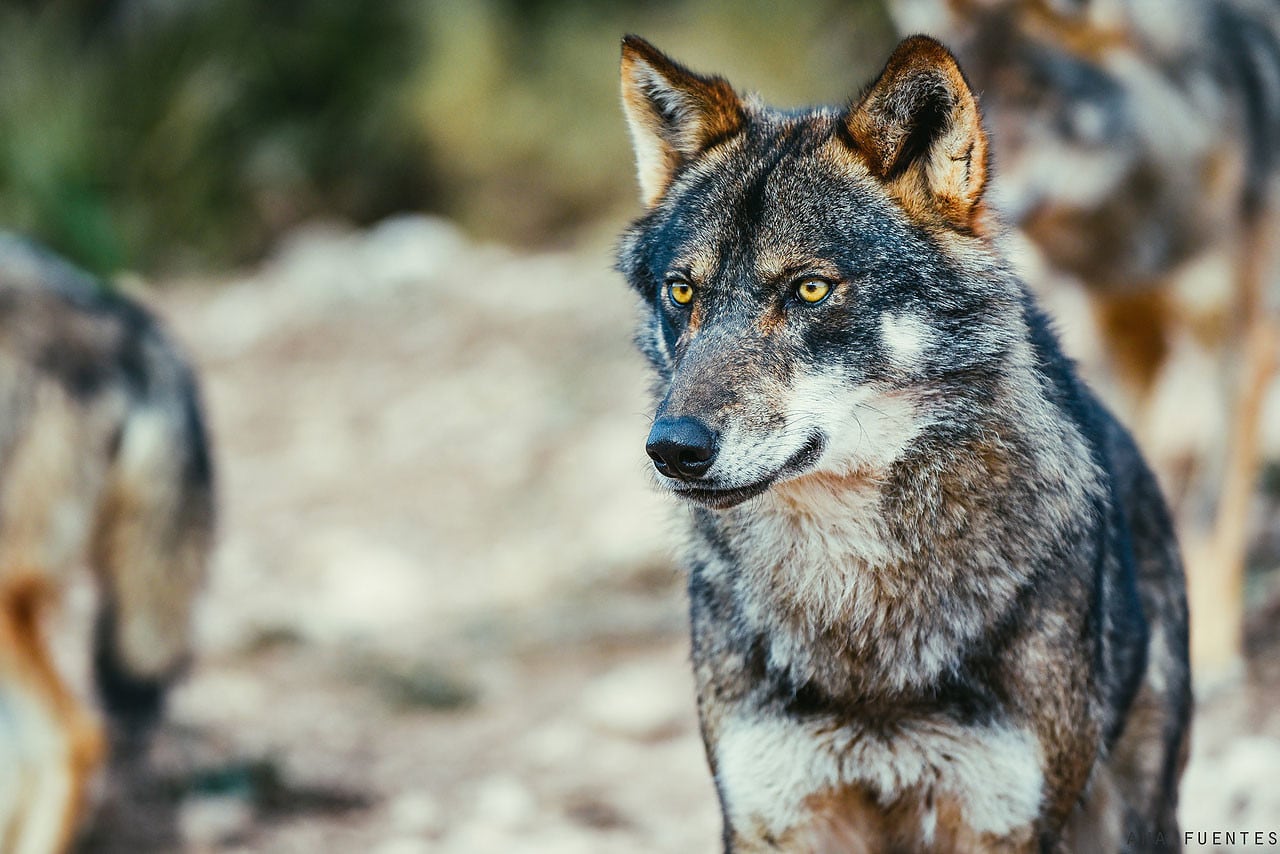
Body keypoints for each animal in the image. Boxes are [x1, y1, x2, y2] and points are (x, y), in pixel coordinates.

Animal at [614, 31, 1192, 850]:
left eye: (810, 289)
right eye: (682, 291)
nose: (672, 449)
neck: (859, 615)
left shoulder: (998, 822)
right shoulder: (774, 815)